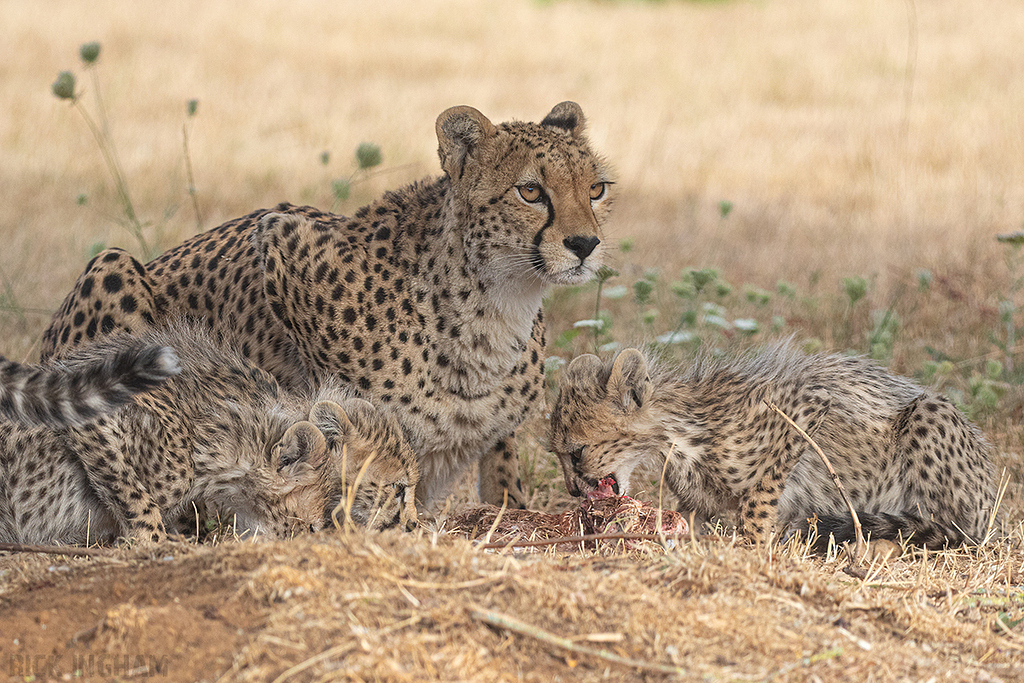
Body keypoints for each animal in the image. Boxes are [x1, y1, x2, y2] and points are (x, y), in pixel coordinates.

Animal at [41, 102, 612, 510]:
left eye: (596, 189)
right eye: (530, 191)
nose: (585, 244)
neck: (497, 301)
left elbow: (500, 473)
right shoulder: (278, 237)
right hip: (112, 266)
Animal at [550, 344, 998, 549]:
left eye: (577, 452)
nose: (572, 489)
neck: (677, 434)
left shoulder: (807, 405)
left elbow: (760, 494)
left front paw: (754, 542)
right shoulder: (698, 503)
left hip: (930, 412)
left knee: (952, 529)